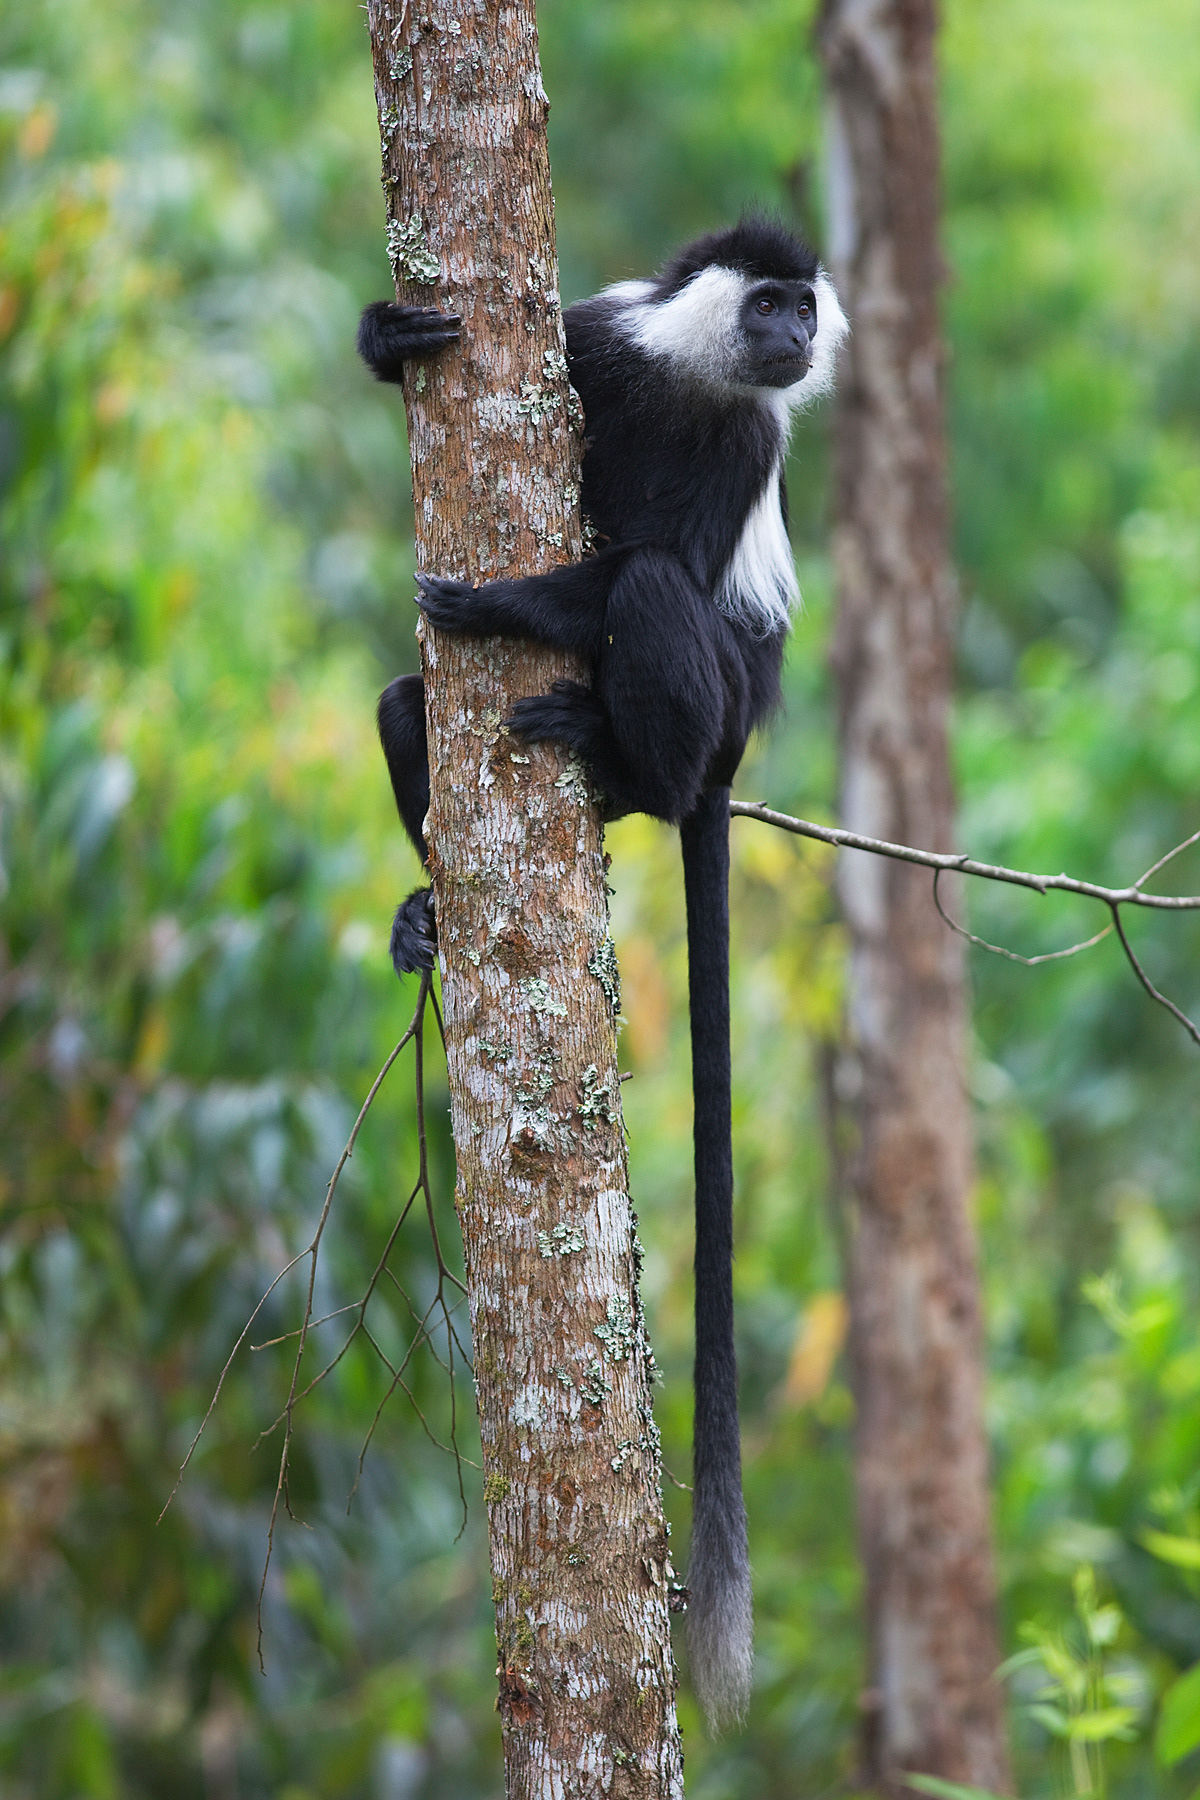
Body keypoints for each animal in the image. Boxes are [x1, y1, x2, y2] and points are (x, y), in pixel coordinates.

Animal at [358, 218, 847, 1730]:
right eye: (770, 300)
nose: (797, 336)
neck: (697, 377)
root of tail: (728, 757)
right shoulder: (598, 340)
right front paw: (389, 337)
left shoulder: (747, 439)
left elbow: (654, 561)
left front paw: (505, 597)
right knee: (405, 703)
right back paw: (428, 917)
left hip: (719, 707)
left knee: (652, 595)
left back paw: (624, 763)